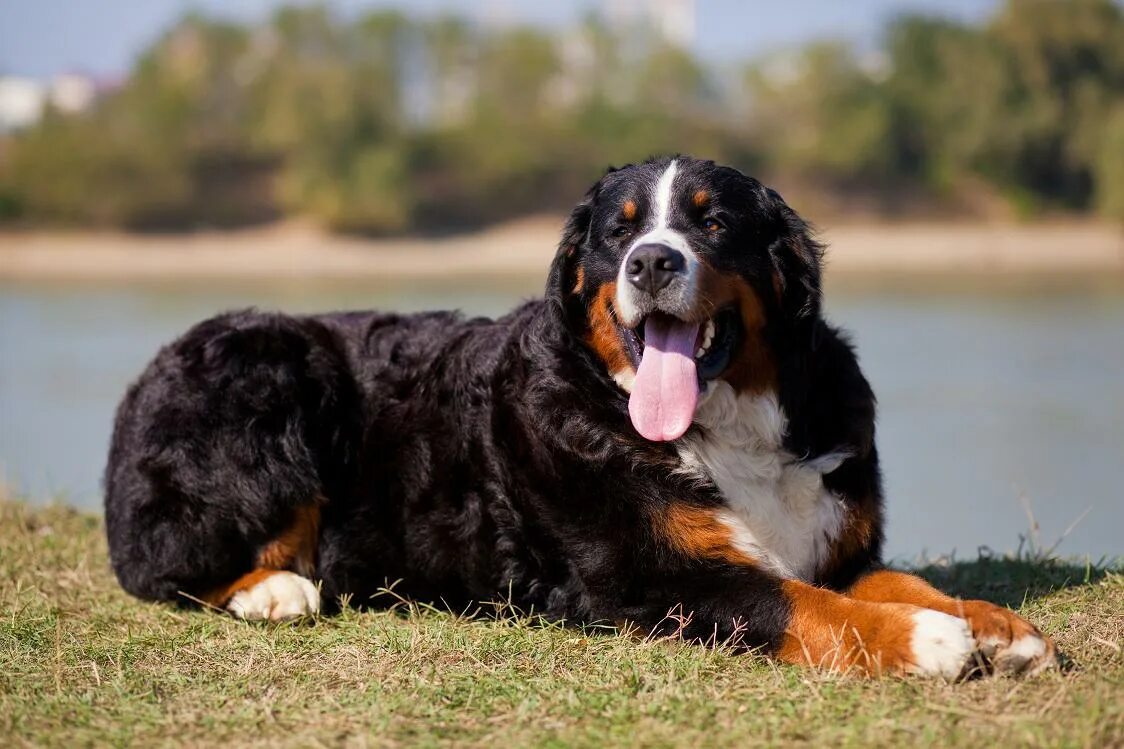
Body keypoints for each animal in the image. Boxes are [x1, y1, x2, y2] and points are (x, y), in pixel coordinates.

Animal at [101, 154, 1056, 674]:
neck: (727, 427)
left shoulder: (837, 541)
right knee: (168, 564)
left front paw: (997, 624)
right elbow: (803, 605)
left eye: (713, 223)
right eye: (618, 229)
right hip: (270, 364)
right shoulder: (644, 577)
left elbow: (893, 580)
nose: (653, 262)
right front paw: (929, 642)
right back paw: (274, 590)